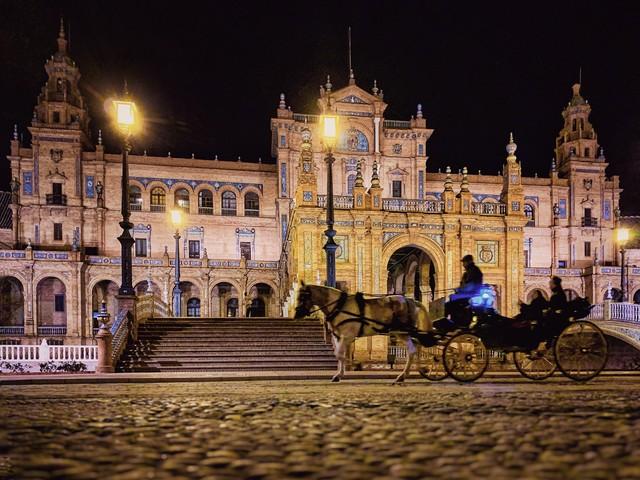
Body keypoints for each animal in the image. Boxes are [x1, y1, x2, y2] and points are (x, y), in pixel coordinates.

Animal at [294, 284, 432, 384]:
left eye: (303, 297)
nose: (296, 314)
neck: (338, 305)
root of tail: (411, 300)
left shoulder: (347, 336)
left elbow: (340, 354)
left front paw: (355, 365)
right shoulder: (337, 337)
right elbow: (338, 355)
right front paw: (339, 374)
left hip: (401, 331)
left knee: (412, 349)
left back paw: (403, 375)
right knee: (416, 346)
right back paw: (417, 369)